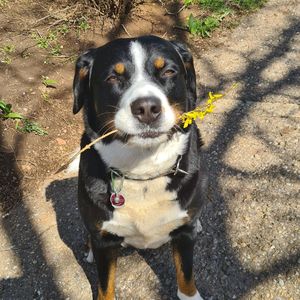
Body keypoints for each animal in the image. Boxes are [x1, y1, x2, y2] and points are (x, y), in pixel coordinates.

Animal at [73, 35, 209, 300]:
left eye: (168, 71)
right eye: (113, 78)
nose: (147, 108)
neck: (143, 172)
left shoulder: (184, 237)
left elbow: (185, 275)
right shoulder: (105, 244)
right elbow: (105, 285)